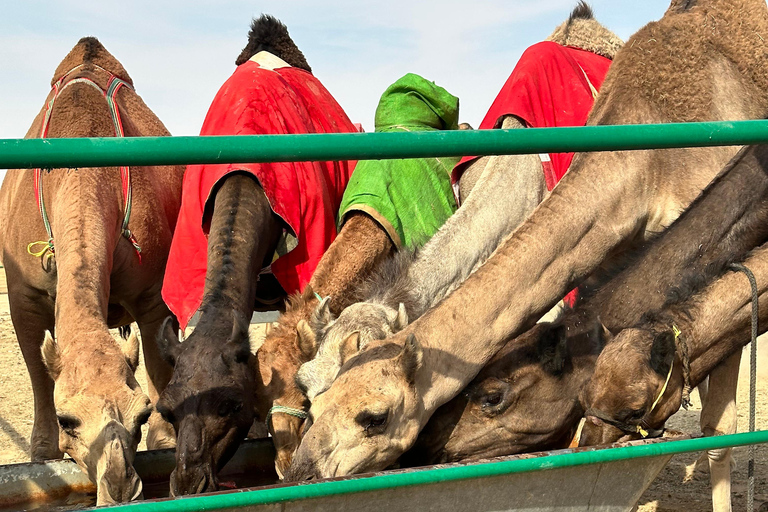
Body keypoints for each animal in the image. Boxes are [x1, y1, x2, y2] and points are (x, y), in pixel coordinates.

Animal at [0, 38, 183, 506]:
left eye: (141, 415)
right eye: (69, 420)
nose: (119, 487)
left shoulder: (152, 293)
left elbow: (158, 368)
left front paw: (166, 442)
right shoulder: (23, 294)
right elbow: (38, 375)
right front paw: (42, 452)